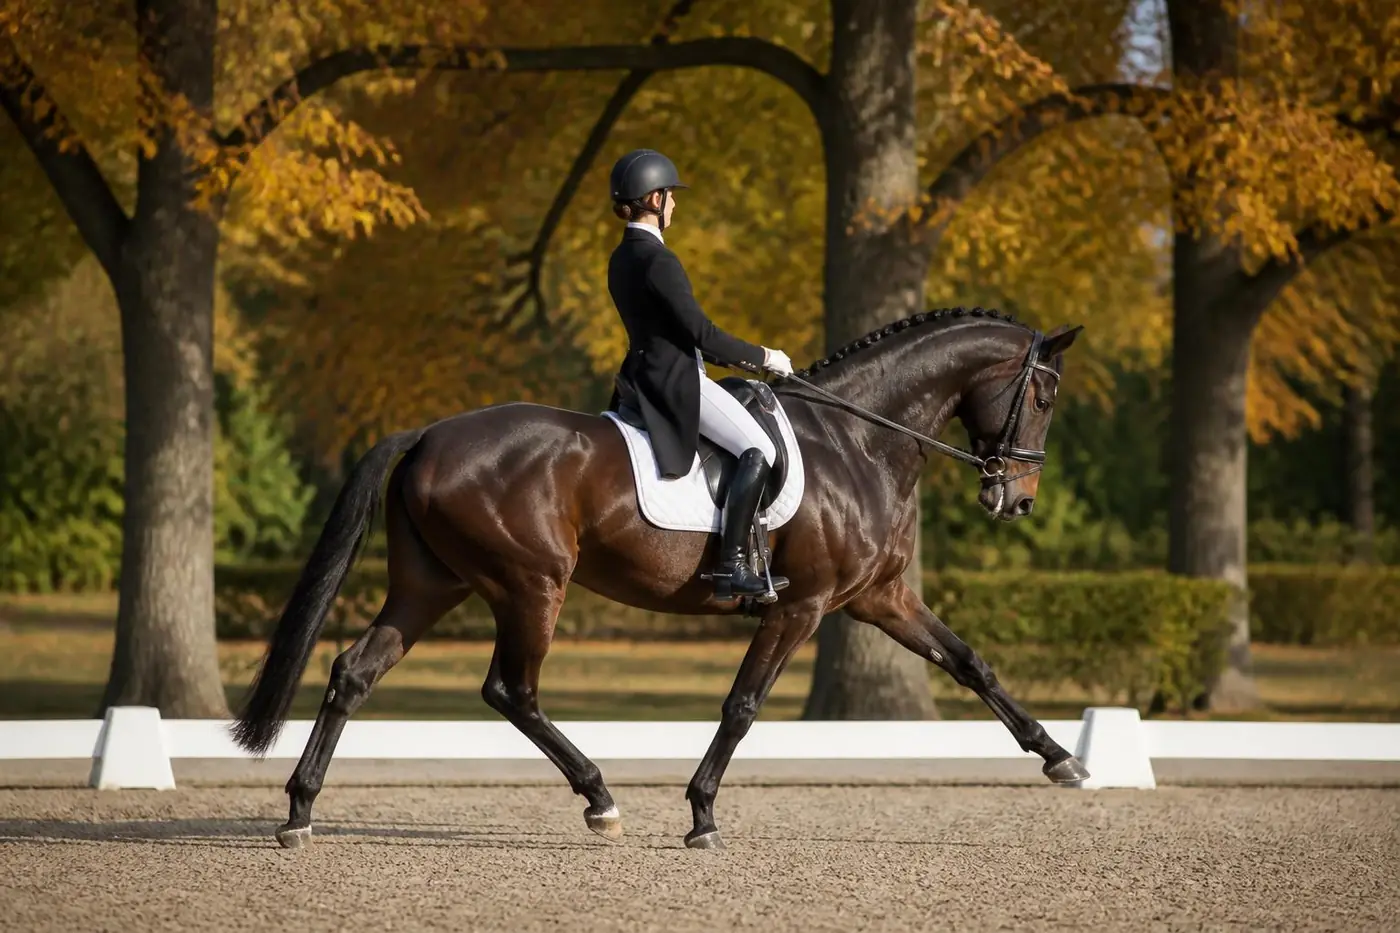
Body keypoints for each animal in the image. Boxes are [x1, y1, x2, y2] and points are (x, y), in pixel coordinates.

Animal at [230, 306, 1088, 850]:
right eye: (1045, 393)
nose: (1015, 498)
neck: (857, 440)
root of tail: (427, 434)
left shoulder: (882, 597)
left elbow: (971, 663)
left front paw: (1060, 757)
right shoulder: (801, 606)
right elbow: (742, 705)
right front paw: (702, 813)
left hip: (432, 585)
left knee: (354, 669)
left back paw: (299, 811)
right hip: (531, 585)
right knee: (511, 690)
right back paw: (600, 800)